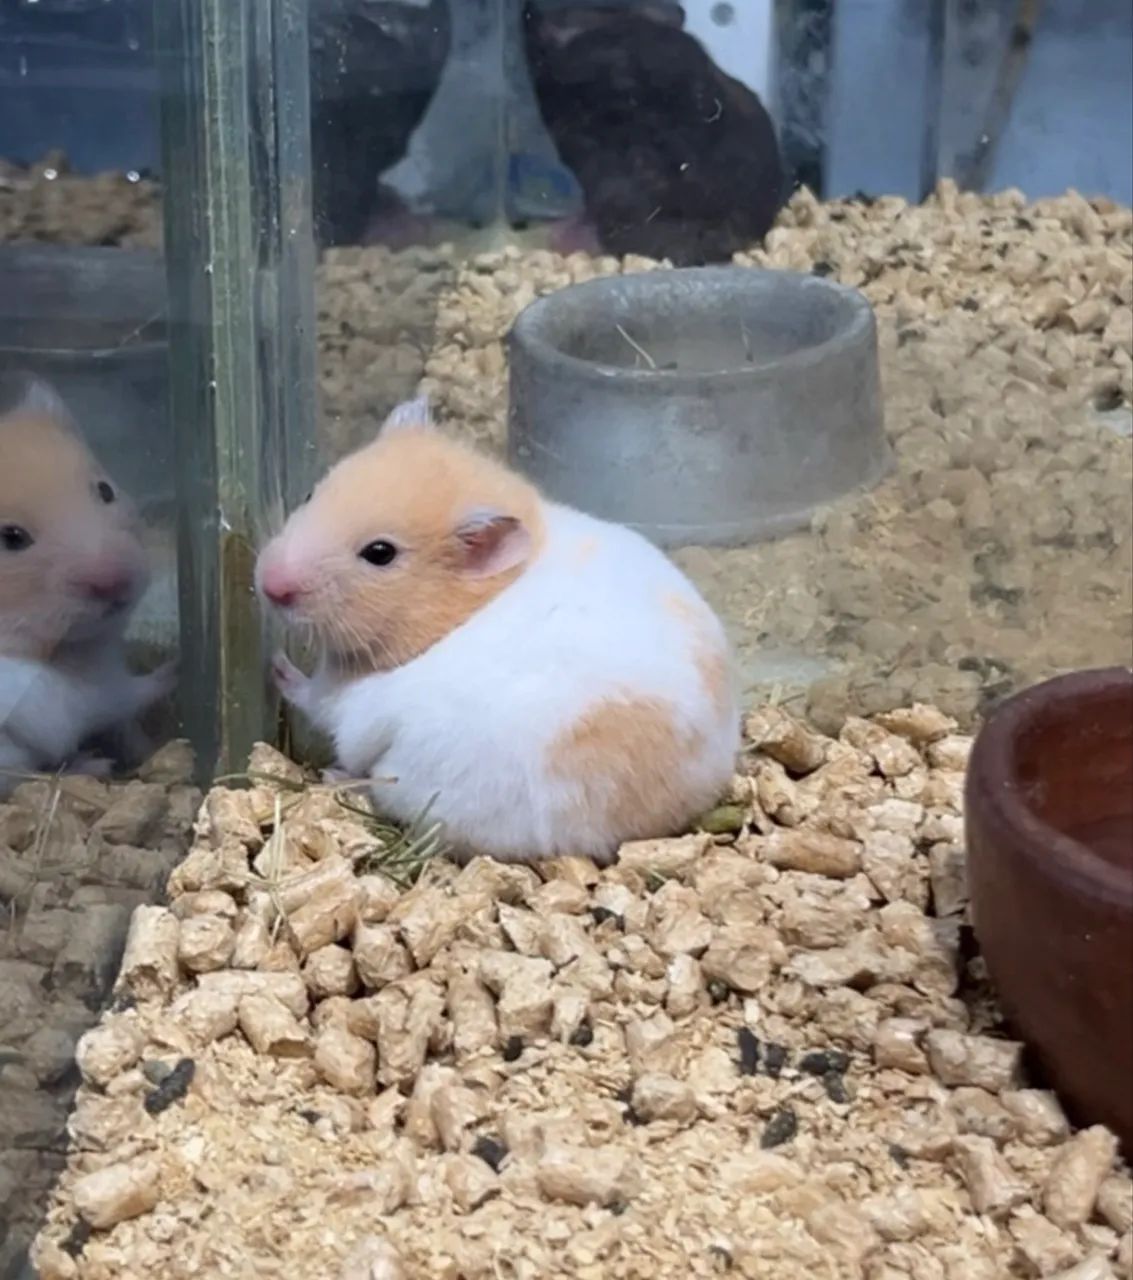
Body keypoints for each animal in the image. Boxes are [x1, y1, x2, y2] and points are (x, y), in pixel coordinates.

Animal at [0, 379, 174, 795]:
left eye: (106, 490)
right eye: (11, 537)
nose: (116, 581)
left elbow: (127, 724)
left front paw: (145, 750)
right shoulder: (65, 697)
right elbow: (127, 694)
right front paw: (176, 666)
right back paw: (94, 765)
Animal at [256, 395, 740, 864]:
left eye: (380, 553)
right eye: (310, 493)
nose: (268, 584)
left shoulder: (346, 695)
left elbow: (313, 696)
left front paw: (276, 664)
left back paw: (333, 772)